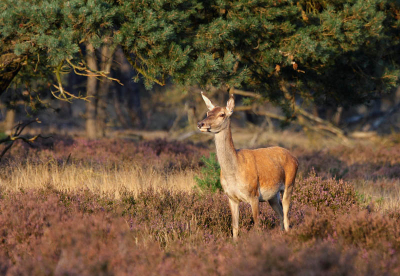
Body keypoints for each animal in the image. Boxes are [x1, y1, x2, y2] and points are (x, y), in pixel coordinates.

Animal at [198, 91, 298, 239]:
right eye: (208, 112)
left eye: (222, 114)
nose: (201, 124)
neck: (233, 172)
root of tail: (295, 159)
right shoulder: (231, 197)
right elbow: (235, 226)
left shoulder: (254, 194)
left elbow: (257, 225)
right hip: (272, 196)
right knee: (280, 214)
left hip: (289, 183)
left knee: (286, 215)